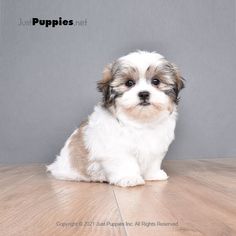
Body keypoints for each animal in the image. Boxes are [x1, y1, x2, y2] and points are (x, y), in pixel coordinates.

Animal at [47, 51, 184, 186]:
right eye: (129, 83)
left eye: (156, 81)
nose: (144, 93)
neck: (140, 121)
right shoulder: (117, 148)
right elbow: (125, 162)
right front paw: (129, 178)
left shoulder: (156, 147)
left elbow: (153, 161)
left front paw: (153, 175)